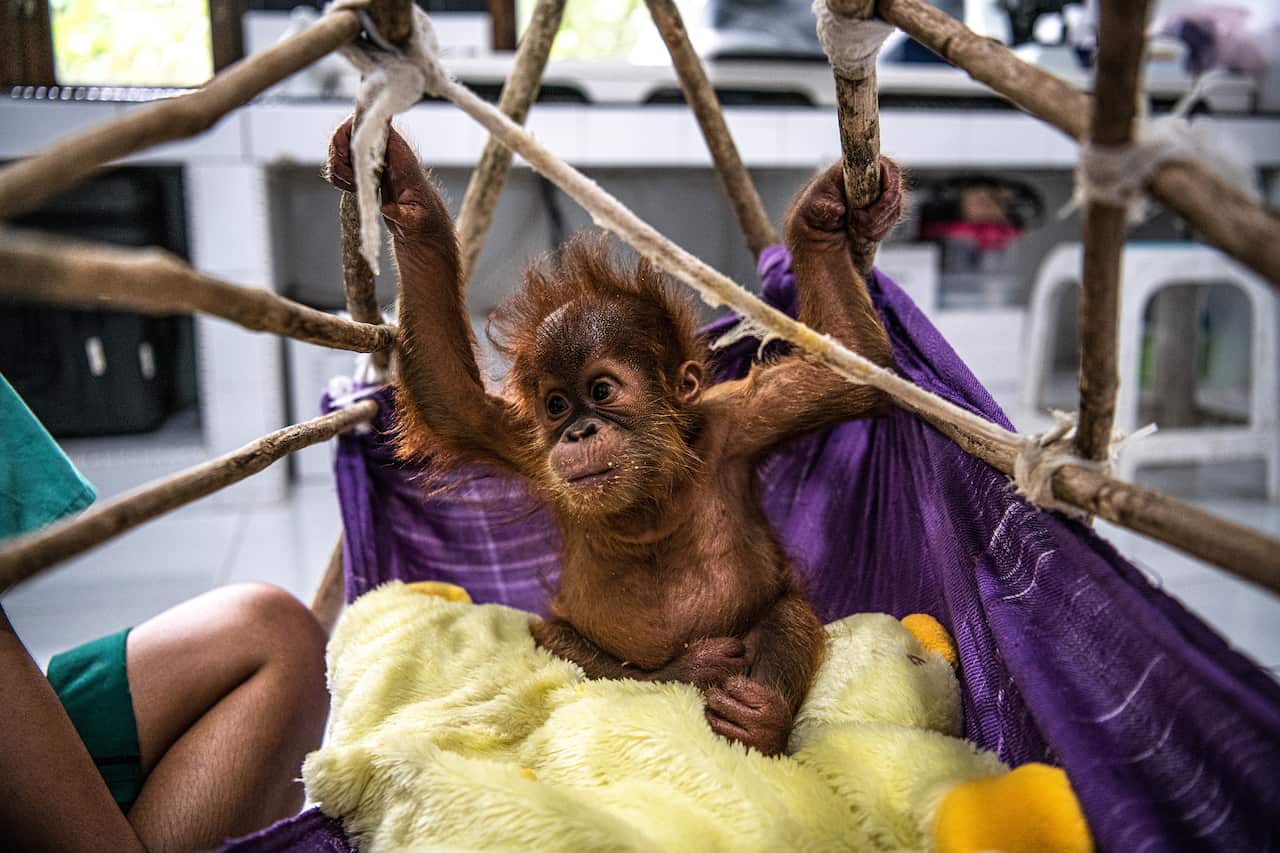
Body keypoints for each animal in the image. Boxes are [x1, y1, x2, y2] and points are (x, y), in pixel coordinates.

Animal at [326, 118, 900, 756]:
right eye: (555, 404)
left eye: (601, 390)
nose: (578, 430)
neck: (648, 494)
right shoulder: (528, 445)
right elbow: (450, 397)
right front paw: (401, 186)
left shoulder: (742, 422)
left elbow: (850, 373)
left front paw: (820, 214)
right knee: (555, 638)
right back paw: (693, 672)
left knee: (788, 612)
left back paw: (760, 720)